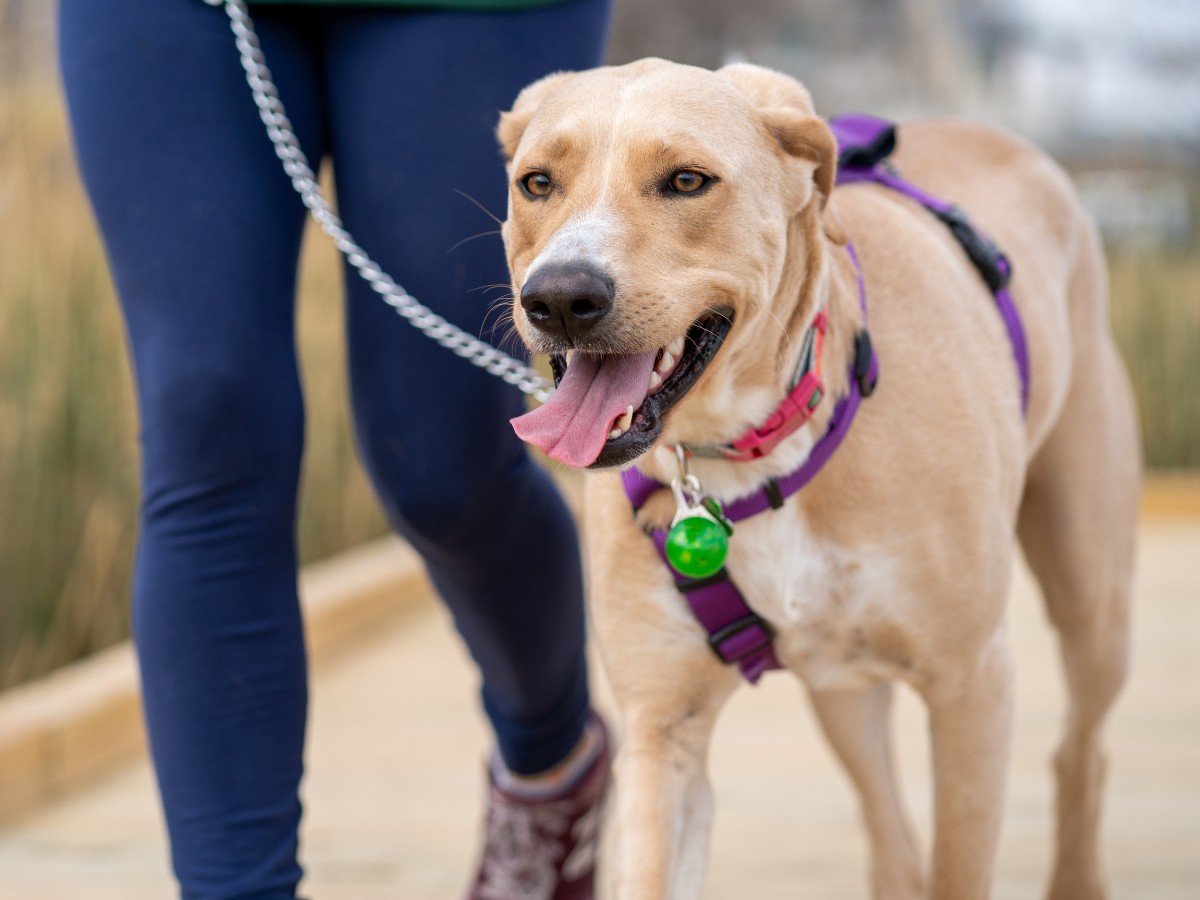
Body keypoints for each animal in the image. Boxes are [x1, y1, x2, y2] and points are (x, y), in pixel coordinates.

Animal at [494, 58, 1132, 900]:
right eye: (536, 183)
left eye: (687, 180)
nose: (561, 298)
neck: (743, 456)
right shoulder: (665, 730)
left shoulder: (972, 685)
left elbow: (961, 866)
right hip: (841, 688)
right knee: (889, 828)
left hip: (1091, 602)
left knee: (1081, 750)